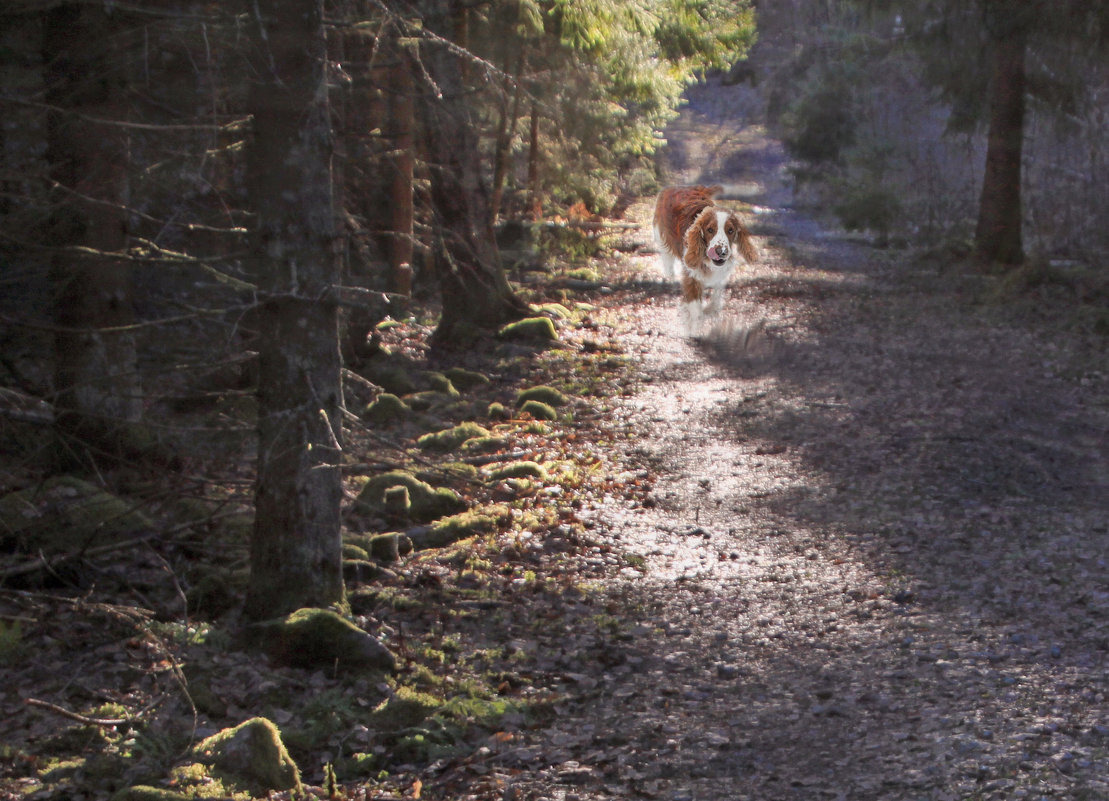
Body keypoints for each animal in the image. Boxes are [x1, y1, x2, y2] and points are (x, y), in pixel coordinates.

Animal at [652, 183, 758, 332]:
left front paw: (710, 309)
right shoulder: (692, 277)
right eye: (710, 230)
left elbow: (717, 293)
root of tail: (676, 186)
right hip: (661, 236)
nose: (721, 252)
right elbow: (696, 309)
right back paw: (669, 277)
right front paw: (695, 331)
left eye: (730, 230)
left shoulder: (721, 273)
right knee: (667, 258)